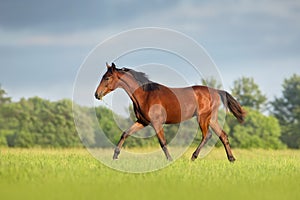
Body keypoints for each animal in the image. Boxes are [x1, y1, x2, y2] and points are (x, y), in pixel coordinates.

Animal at [95, 63, 245, 162]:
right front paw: (115, 156)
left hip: (203, 118)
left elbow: (162, 142)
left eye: (107, 78)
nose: (97, 94)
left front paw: (170, 159)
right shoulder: (142, 122)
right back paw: (231, 159)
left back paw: (193, 157)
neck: (145, 95)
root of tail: (216, 91)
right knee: (223, 135)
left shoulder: (156, 123)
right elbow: (125, 133)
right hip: (212, 119)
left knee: (207, 135)